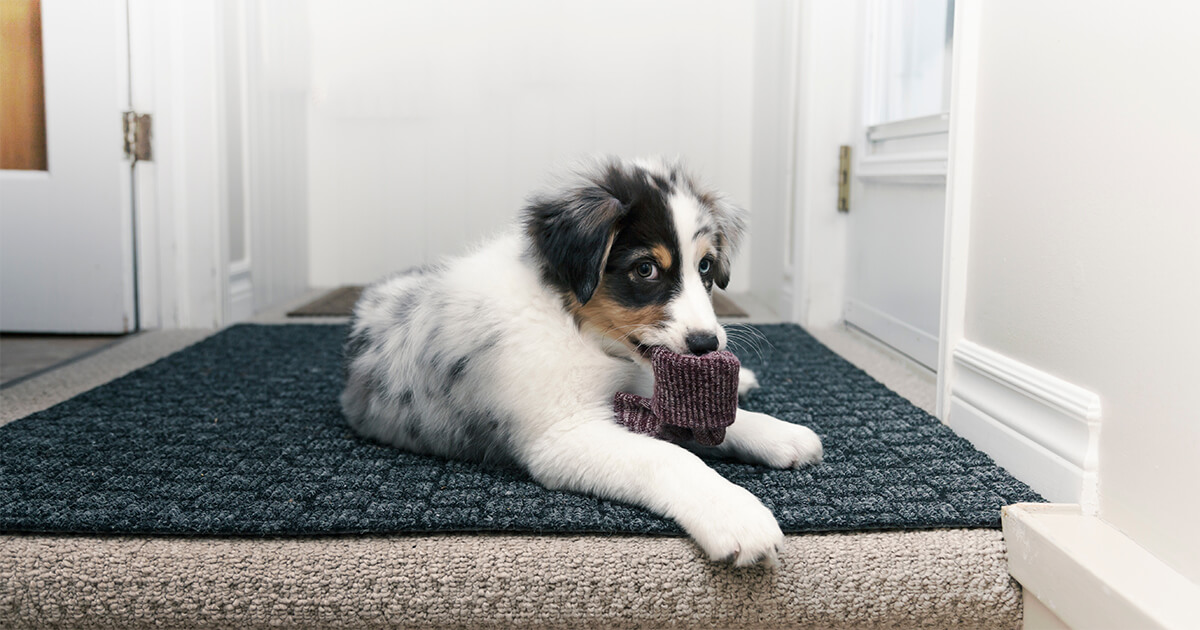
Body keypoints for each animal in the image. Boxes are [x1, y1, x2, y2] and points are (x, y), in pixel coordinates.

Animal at [343, 156, 820, 564]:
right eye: (645, 269)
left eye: (705, 266)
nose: (707, 344)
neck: (580, 329)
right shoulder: (563, 435)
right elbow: (668, 456)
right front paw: (735, 515)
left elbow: (703, 415)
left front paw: (779, 433)